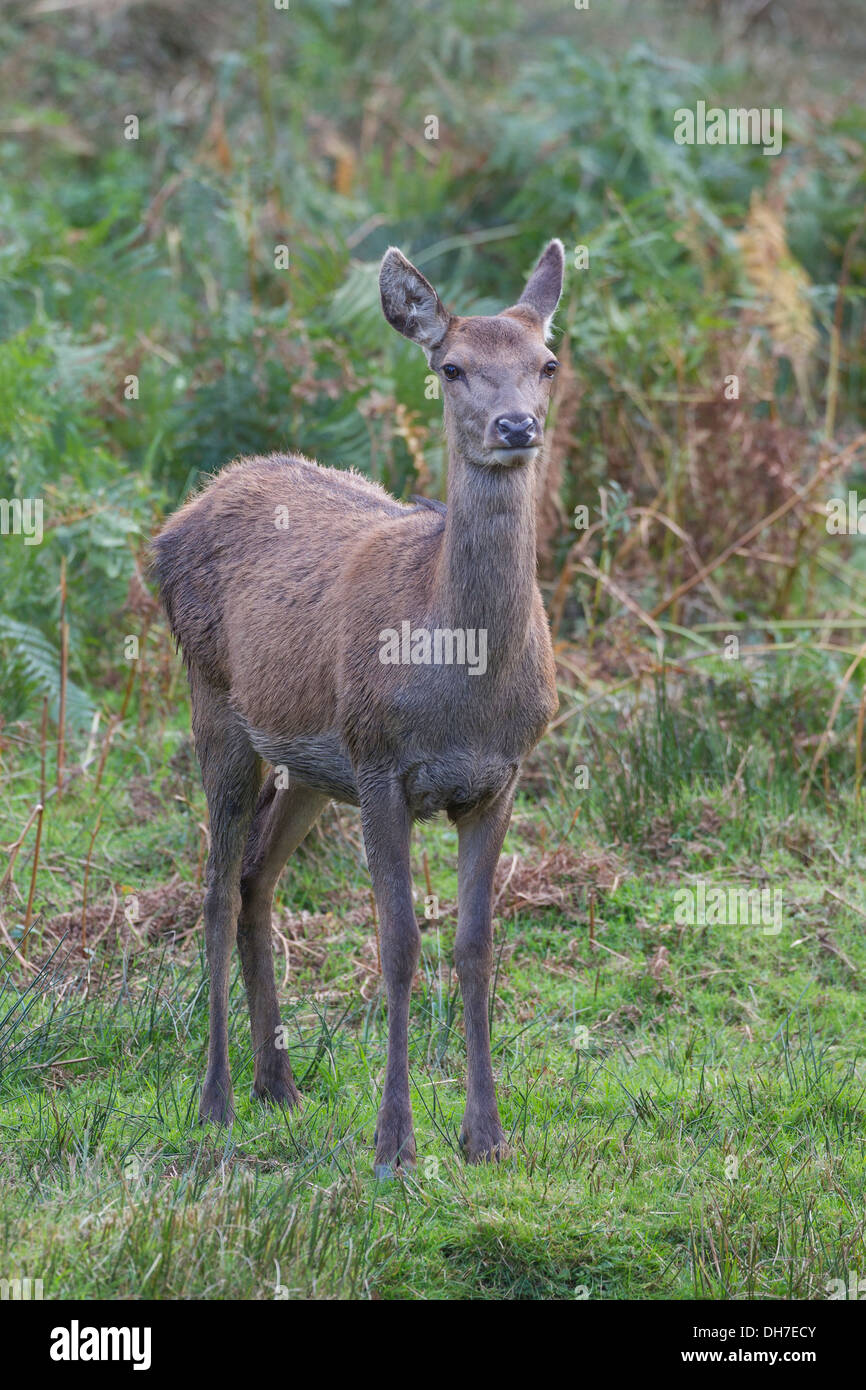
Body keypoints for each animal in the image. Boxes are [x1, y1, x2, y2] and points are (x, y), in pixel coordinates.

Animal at [152, 236, 567, 1173]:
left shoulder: (501, 777)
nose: (515, 427)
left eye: (547, 363)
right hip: (217, 704)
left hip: (312, 764)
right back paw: (216, 1100)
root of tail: (177, 519)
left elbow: (477, 945)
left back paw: (279, 1083)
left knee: (254, 875)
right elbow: (399, 943)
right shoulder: (382, 765)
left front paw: (487, 1137)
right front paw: (395, 1145)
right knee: (211, 886)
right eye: (451, 366)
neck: (462, 685)